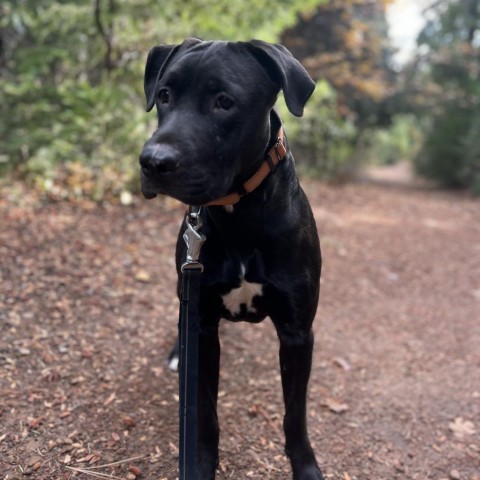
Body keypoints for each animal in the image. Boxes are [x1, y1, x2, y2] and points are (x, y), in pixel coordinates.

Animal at [141, 38, 324, 480]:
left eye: (224, 101)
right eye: (164, 95)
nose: (152, 161)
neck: (239, 214)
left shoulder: (297, 332)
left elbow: (295, 415)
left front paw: (306, 466)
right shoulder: (203, 323)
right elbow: (205, 414)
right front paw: (200, 465)